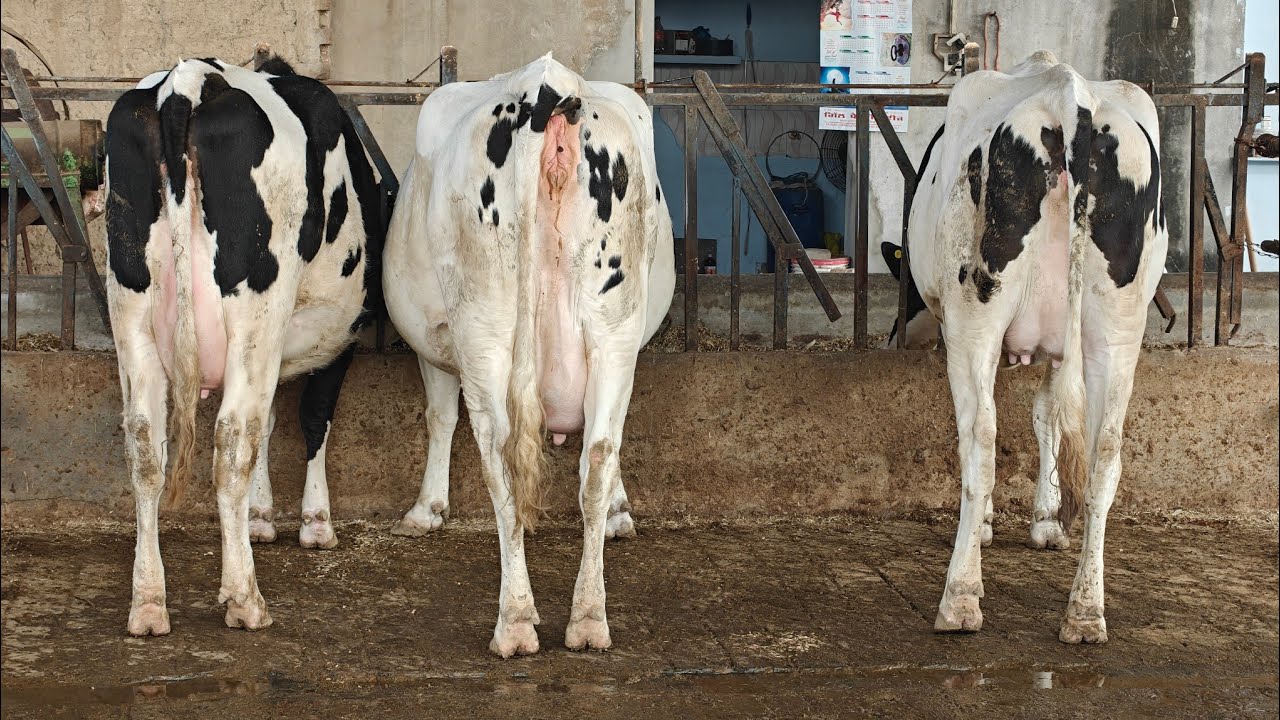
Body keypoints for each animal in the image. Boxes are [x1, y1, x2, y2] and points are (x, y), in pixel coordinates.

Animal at [104, 56, 384, 635]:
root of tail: (188, 82)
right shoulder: (338, 339)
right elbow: (312, 420)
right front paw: (316, 523)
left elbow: (273, 423)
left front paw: (260, 517)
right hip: (256, 316)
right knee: (233, 441)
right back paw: (244, 599)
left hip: (131, 309)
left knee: (144, 448)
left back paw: (149, 603)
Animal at [383, 54, 675, 656]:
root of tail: (548, 90)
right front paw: (621, 512)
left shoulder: (436, 343)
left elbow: (439, 416)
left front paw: (426, 509)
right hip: (612, 328)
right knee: (597, 455)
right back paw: (587, 618)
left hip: (484, 328)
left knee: (500, 459)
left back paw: (514, 620)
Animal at [885, 51, 1167, 643]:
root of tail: (1070, 94)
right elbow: (1048, 415)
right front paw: (1048, 519)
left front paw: (993, 524)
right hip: (1118, 326)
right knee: (1106, 451)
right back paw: (1085, 611)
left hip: (976, 312)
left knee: (981, 438)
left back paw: (960, 598)